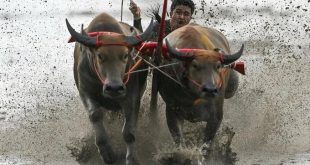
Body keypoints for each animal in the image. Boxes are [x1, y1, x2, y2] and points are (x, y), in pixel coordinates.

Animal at [65, 12, 154, 164]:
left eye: (125, 55)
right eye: (100, 56)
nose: (114, 88)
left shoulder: (132, 97)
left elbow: (129, 133)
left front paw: (131, 159)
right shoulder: (85, 92)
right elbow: (95, 115)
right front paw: (106, 152)